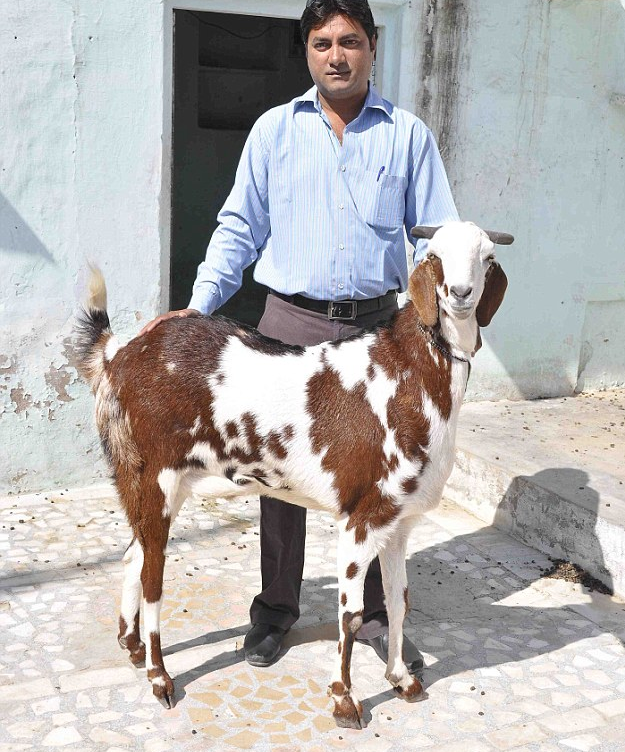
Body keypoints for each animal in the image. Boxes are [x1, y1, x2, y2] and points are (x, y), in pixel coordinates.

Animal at [73, 220, 512, 724]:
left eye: (488, 258)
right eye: (435, 256)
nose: (459, 293)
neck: (409, 373)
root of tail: (121, 355)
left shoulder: (400, 522)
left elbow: (398, 601)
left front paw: (400, 678)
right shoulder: (362, 517)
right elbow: (351, 614)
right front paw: (345, 700)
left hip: (162, 480)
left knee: (135, 553)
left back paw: (131, 646)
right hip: (155, 475)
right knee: (153, 578)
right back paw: (160, 678)